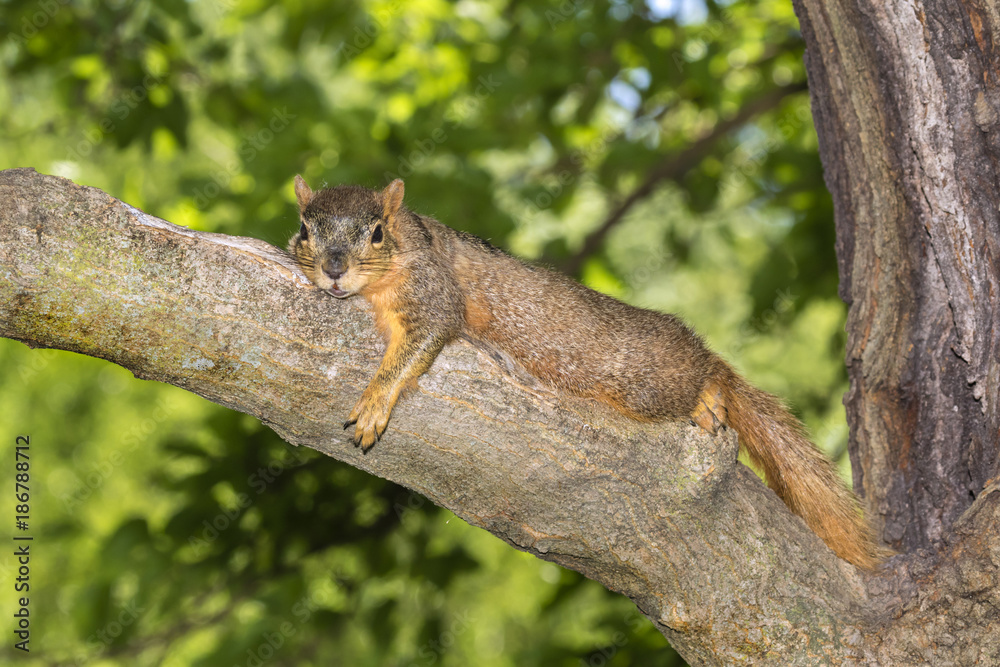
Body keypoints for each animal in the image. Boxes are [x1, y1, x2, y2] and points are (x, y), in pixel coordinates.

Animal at [288, 174, 884, 568]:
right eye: (303, 229)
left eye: (377, 233)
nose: (334, 269)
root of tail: (696, 350)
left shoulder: (434, 293)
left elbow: (421, 342)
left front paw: (374, 403)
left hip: (646, 383)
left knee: (702, 382)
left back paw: (709, 396)